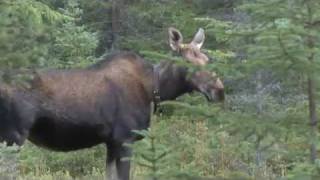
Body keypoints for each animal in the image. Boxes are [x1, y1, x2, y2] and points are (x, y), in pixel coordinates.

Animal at [0, 27, 225, 179]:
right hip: (14, 136)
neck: (154, 89)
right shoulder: (124, 138)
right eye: (188, 62)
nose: (220, 91)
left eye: (207, 59)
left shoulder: (110, 142)